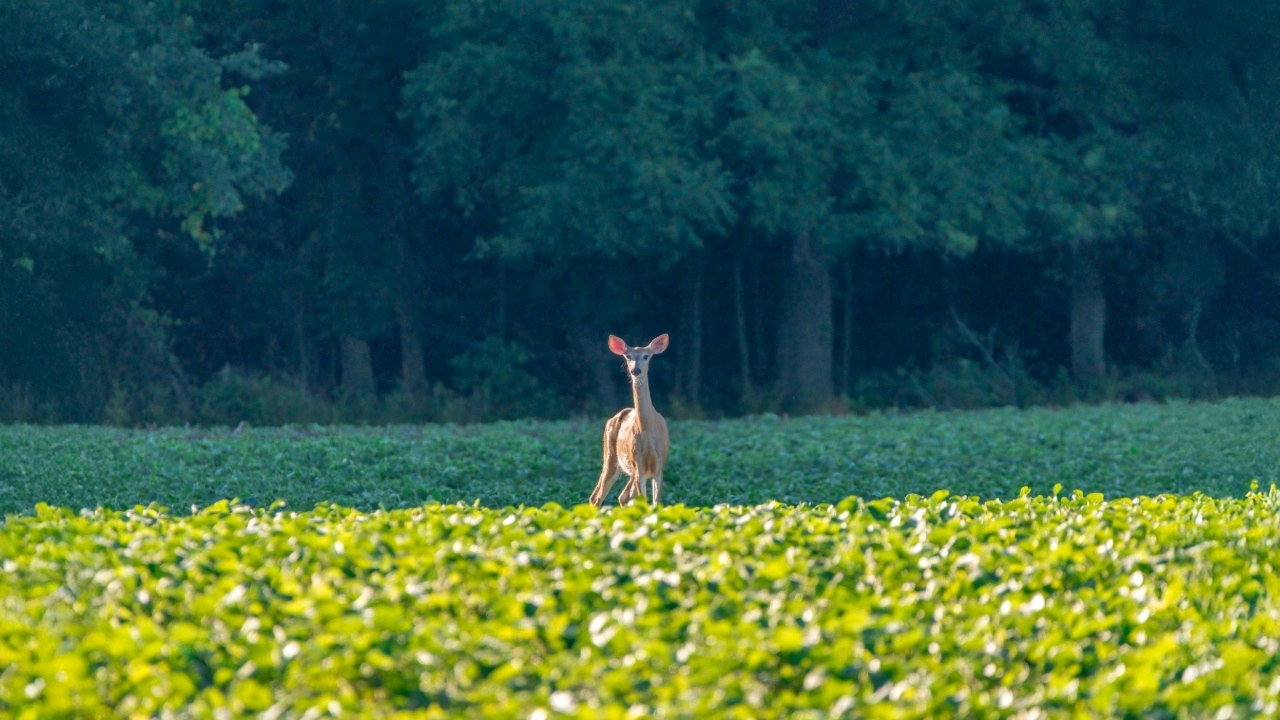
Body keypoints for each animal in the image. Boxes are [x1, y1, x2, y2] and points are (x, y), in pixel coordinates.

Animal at [588, 334, 670, 507]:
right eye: (628, 356)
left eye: (646, 356)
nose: (635, 370)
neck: (648, 431)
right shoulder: (638, 463)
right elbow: (644, 500)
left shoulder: (659, 464)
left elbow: (656, 503)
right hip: (611, 456)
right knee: (597, 497)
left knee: (623, 496)